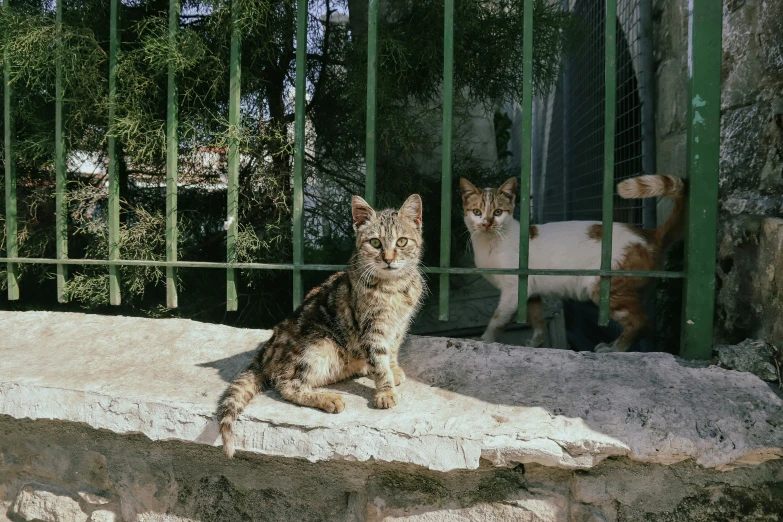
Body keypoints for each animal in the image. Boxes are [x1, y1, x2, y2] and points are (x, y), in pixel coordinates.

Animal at [217, 192, 426, 456]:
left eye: (402, 242)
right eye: (375, 243)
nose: (388, 259)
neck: (394, 287)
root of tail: (264, 355)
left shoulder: (399, 324)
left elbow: (393, 349)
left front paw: (394, 369)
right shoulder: (371, 329)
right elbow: (379, 360)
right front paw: (386, 390)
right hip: (319, 343)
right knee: (287, 385)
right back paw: (329, 399)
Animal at [462, 173, 684, 352]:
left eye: (498, 212)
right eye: (477, 212)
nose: (486, 223)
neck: (489, 244)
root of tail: (648, 234)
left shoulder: (512, 290)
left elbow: (497, 321)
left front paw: (483, 340)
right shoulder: (529, 290)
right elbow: (537, 320)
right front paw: (536, 343)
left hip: (605, 288)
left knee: (640, 322)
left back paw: (616, 349)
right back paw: (611, 344)